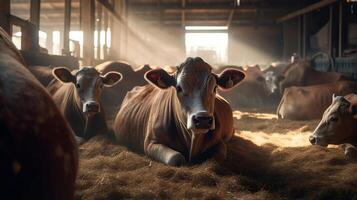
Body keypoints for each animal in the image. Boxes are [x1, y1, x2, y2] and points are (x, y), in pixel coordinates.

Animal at [114, 56, 245, 166]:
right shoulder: (151, 142)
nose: (202, 119)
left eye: (214, 87)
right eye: (179, 88)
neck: (193, 140)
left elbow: (216, 159)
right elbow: (176, 158)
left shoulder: (219, 143)